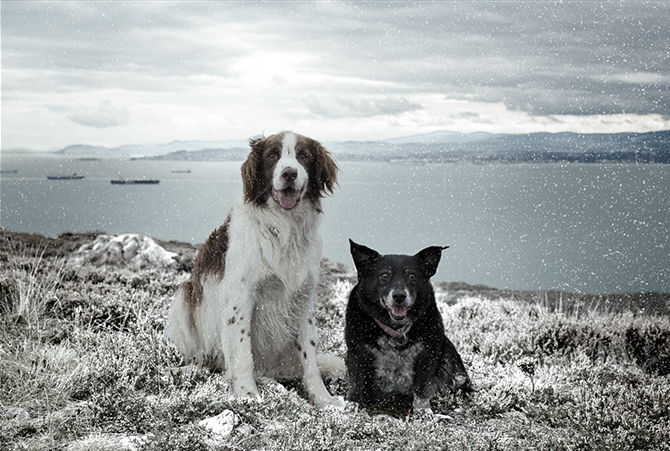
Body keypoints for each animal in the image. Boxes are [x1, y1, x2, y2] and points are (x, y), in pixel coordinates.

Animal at [167, 131, 346, 410]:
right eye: (272, 155)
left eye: (303, 156)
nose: (289, 173)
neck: (284, 229)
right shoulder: (241, 299)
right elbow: (242, 352)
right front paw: (246, 393)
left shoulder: (303, 301)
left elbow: (310, 359)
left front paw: (323, 398)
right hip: (184, 297)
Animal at [346, 242, 472, 418]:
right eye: (385, 275)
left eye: (412, 276)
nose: (399, 296)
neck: (395, 330)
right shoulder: (356, 353)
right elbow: (357, 381)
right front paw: (353, 403)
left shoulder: (428, 354)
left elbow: (422, 385)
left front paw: (423, 410)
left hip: (450, 359)